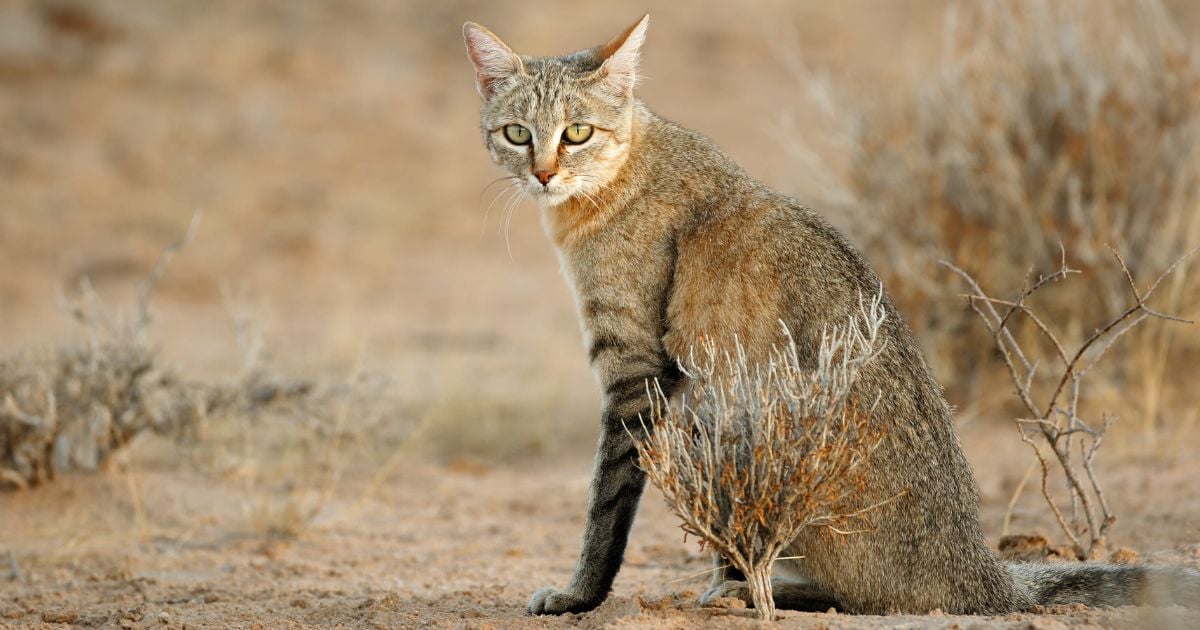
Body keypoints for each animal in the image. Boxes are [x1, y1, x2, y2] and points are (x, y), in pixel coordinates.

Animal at [460, 13, 1200, 614]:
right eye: (517, 134)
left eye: (578, 132)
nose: (544, 174)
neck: (620, 175)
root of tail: (982, 570)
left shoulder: (634, 373)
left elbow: (606, 507)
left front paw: (579, 596)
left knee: (861, 597)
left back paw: (756, 593)